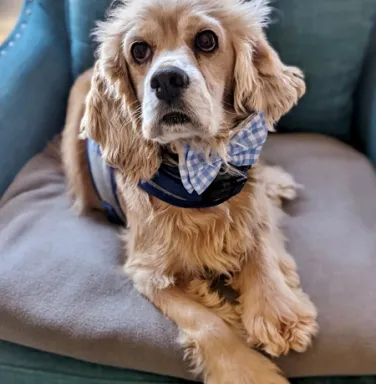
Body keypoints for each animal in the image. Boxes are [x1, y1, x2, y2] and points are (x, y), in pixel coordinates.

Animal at [61, 1, 318, 382]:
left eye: (207, 40)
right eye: (139, 50)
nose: (167, 79)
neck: (197, 173)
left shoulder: (248, 211)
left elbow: (261, 248)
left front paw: (277, 311)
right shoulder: (148, 271)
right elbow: (207, 324)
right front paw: (248, 372)